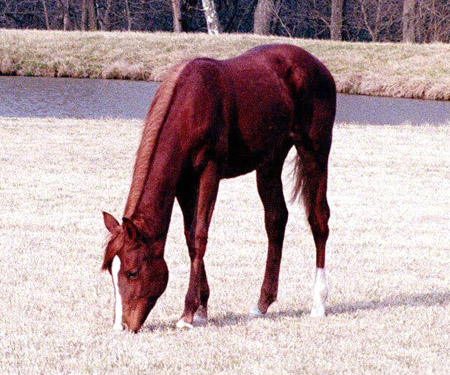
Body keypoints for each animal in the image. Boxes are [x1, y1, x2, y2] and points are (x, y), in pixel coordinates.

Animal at [102, 44, 334, 332]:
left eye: (132, 272)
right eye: (111, 272)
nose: (121, 326)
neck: (191, 104)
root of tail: (318, 66)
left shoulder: (209, 172)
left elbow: (200, 235)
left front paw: (187, 314)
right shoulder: (184, 183)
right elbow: (190, 237)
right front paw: (201, 308)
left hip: (315, 152)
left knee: (318, 221)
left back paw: (318, 303)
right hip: (269, 162)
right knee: (276, 219)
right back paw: (262, 303)